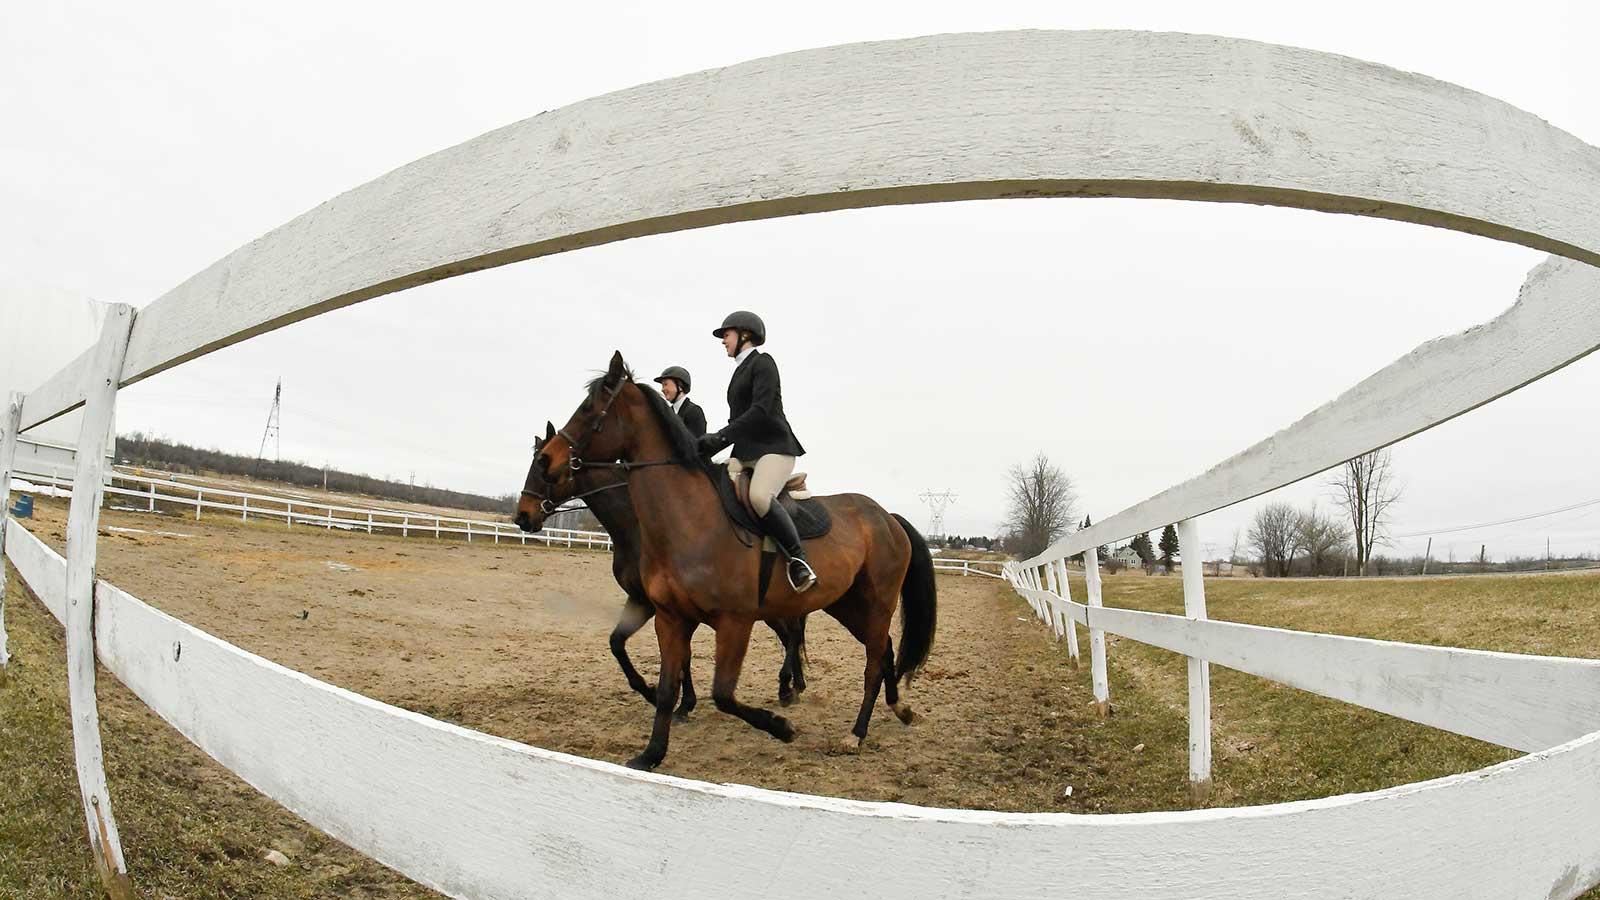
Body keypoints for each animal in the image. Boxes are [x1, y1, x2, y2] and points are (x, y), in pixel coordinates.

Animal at [518, 422, 812, 714]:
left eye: (542, 468)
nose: (522, 517)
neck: (637, 525)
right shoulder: (647, 601)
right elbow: (620, 644)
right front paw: (662, 695)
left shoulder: (664, 606)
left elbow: (682, 653)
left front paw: (681, 702)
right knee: (790, 634)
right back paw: (795, 685)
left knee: (792, 633)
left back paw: (788, 686)